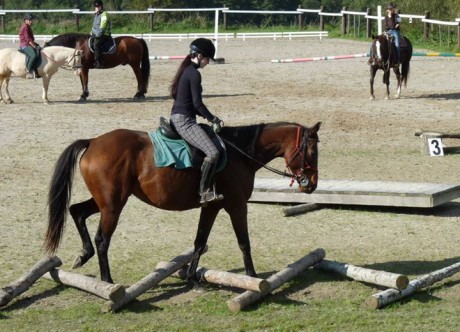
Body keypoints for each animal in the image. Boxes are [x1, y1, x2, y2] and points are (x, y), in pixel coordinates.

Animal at [45, 121, 322, 282]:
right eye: (311, 151)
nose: (312, 184)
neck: (240, 152)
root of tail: (93, 142)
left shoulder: (212, 206)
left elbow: (199, 241)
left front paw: (191, 276)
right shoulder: (236, 204)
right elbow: (244, 242)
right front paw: (252, 277)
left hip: (106, 201)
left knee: (77, 211)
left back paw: (83, 255)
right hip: (113, 206)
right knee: (102, 240)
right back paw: (107, 281)